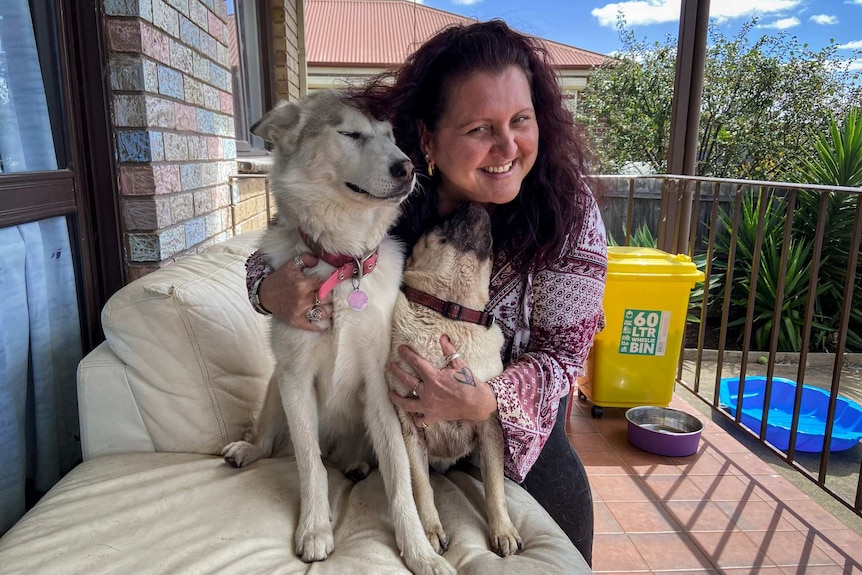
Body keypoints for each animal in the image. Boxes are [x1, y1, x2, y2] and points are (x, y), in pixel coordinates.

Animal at [224, 90, 460, 575]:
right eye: (350, 134)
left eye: (390, 137)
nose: (408, 168)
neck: (343, 264)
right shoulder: (295, 380)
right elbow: (308, 465)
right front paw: (315, 530)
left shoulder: (381, 389)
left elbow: (401, 481)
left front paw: (419, 551)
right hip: (276, 385)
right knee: (273, 439)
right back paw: (249, 449)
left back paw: (354, 463)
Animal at [388, 204, 524, 560]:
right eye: (439, 221)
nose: (473, 204)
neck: (451, 311)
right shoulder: (411, 429)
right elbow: (422, 487)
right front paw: (430, 531)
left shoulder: (489, 427)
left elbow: (494, 488)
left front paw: (503, 531)